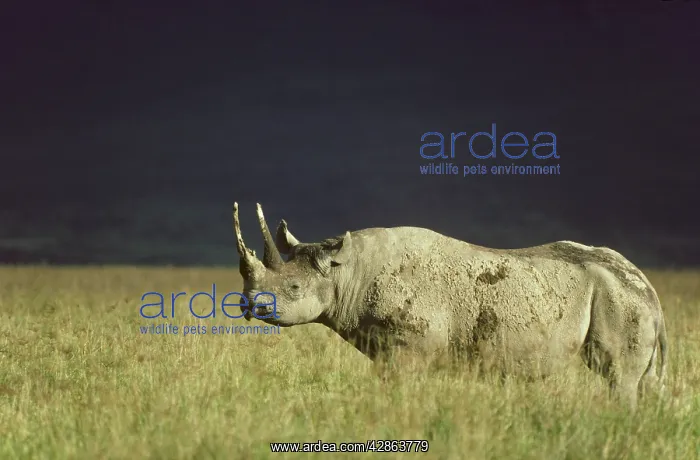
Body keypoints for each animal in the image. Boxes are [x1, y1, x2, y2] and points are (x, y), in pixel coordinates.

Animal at [232, 202, 668, 409]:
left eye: (292, 287)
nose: (249, 305)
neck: (344, 273)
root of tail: (649, 288)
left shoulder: (408, 347)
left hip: (621, 299)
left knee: (617, 377)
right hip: (623, 296)